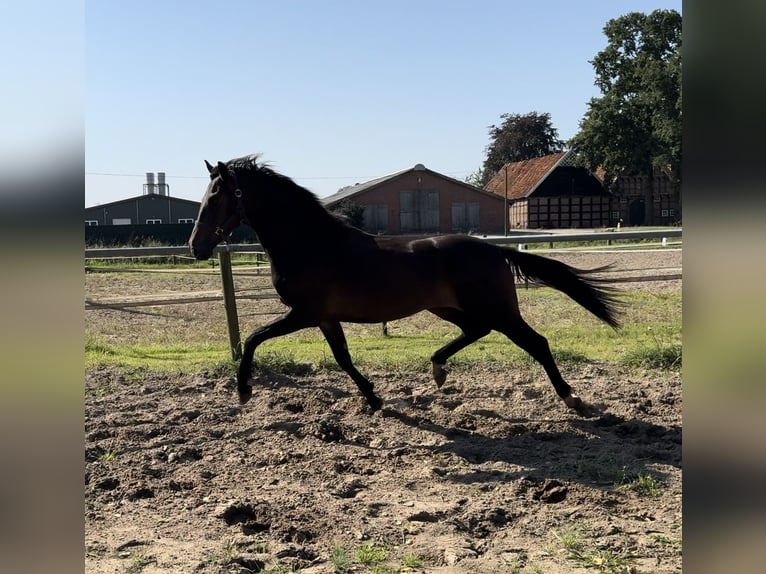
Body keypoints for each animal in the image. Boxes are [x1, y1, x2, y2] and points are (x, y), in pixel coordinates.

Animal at [188, 154, 624, 414]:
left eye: (216, 197)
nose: (196, 246)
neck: (311, 244)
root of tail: (493, 249)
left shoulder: (304, 313)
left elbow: (253, 338)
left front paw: (244, 389)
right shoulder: (325, 318)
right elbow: (343, 358)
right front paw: (374, 398)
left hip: (498, 310)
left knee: (537, 342)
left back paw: (570, 396)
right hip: (448, 307)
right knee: (476, 331)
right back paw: (438, 369)